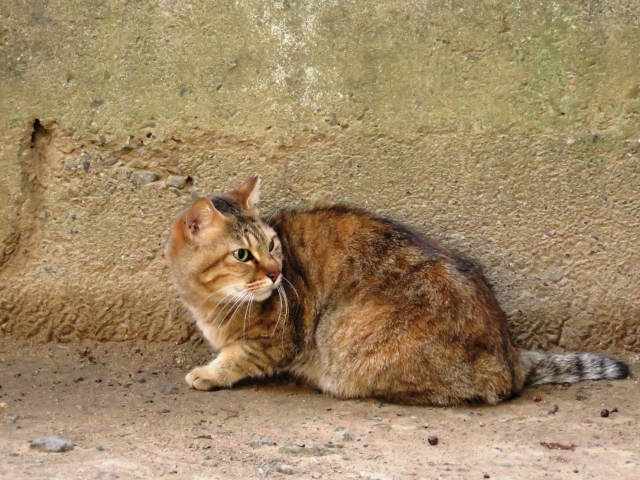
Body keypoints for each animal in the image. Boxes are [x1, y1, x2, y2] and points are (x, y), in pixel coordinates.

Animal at [166, 175, 632, 404]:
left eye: (274, 245)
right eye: (243, 255)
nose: (277, 273)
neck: (208, 301)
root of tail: (513, 359)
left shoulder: (274, 341)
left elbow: (236, 358)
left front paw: (208, 373)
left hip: (346, 335)